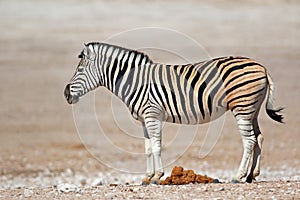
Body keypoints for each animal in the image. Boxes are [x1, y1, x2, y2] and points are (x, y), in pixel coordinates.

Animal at [64, 42, 282, 184]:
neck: (134, 81)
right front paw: (147, 177)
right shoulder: (144, 120)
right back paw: (251, 175)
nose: (66, 94)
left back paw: (238, 176)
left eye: (80, 70)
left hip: (242, 107)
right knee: (259, 137)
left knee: (249, 141)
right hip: (252, 109)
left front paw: (157, 176)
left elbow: (157, 146)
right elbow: (148, 148)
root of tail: (261, 67)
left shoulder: (152, 115)